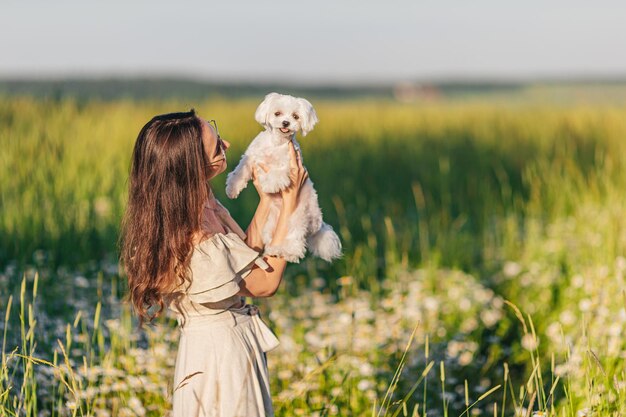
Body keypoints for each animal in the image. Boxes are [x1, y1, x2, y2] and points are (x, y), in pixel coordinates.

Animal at [224, 92, 342, 262]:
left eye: (295, 116)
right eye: (277, 113)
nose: (286, 122)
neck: (276, 143)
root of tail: (318, 225)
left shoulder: (290, 164)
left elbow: (278, 172)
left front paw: (269, 184)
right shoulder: (251, 157)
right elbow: (240, 171)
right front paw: (232, 187)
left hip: (297, 217)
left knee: (296, 241)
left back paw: (286, 251)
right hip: (271, 221)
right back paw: (271, 249)